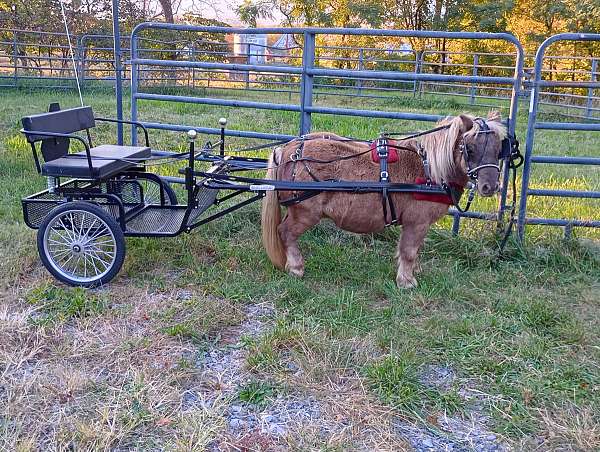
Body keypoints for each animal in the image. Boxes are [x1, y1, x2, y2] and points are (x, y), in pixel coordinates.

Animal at [262, 114, 506, 290]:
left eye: (499, 149)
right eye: (470, 149)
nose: (490, 187)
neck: (429, 169)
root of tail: (288, 149)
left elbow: (415, 249)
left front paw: (413, 271)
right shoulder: (416, 222)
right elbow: (408, 250)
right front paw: (406, 281)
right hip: (305, 212)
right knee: (285, 232)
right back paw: (296, 267)